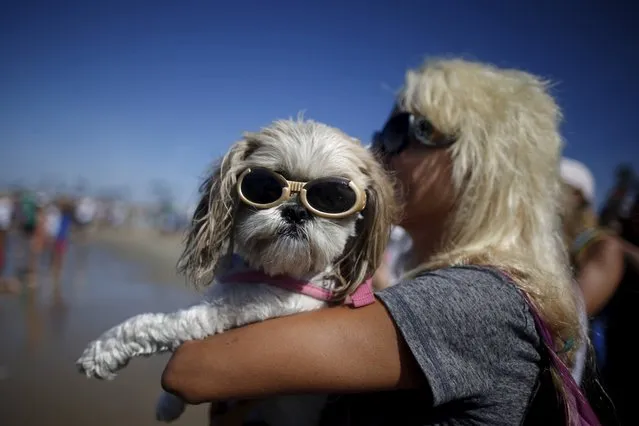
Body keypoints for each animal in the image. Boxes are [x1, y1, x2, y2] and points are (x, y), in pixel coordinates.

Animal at [77, 117, 398, 426]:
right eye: (266, 186)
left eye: (334, 198)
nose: (296, 211)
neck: (274, 271)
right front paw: (168, 404)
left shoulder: (229, 312)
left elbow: (155, 325)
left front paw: (102, 352)